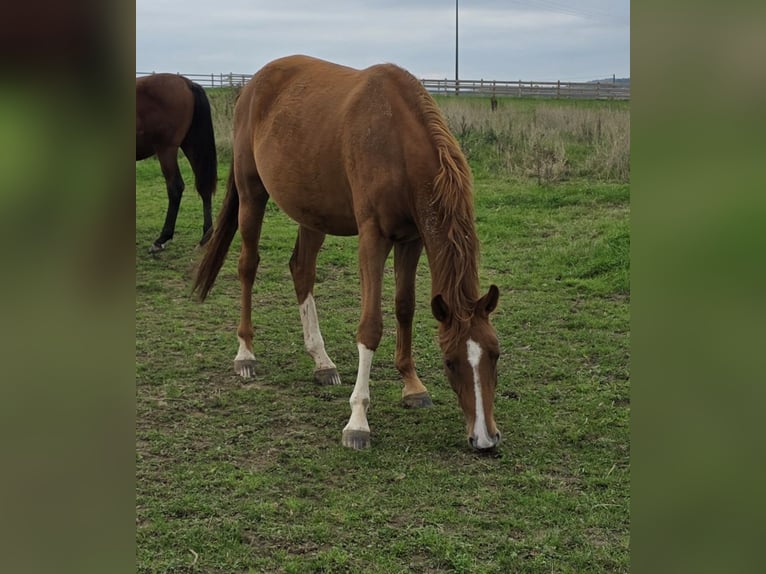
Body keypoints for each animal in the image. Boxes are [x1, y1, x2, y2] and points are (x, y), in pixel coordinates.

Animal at [136, 73, 217, 251]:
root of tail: (187, 83)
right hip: (191, 144)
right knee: (203, 186)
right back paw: (206, 236)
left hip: (166, 149)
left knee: (175, 187)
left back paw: (161, 239)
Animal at [193, 55, 501, 451]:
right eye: (449, 361)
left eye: (495, 354)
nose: (485, 438)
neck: (397, 141)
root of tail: (254, 85)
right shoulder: (373, 237)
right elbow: (371, 326)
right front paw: (358, 421)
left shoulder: (411, 238)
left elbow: (404, 307)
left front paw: (412, 386)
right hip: (251, 194)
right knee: (248, 265)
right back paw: (245, 353)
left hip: (311, 213)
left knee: (302, 270)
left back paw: (322, 361)